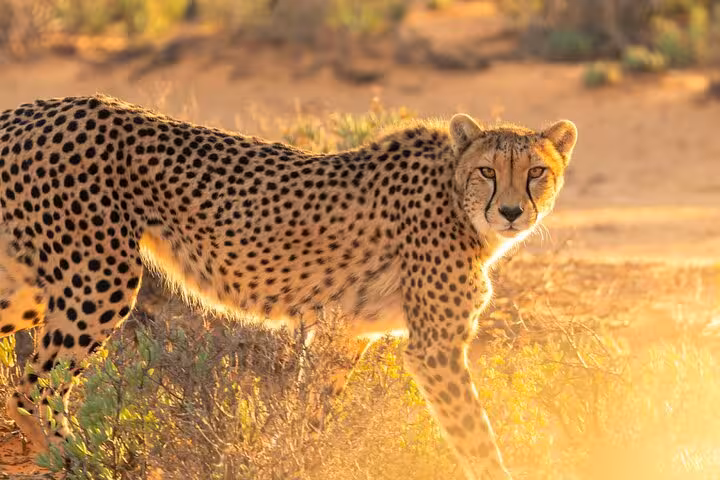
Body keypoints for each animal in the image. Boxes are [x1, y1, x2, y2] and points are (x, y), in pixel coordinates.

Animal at [0, 94, 576, 480]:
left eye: (536, 172)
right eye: (487, 170)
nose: (510, 211)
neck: (457, 198)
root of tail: (32, 109)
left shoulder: (345, 334)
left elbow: (313, 411)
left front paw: (298, 457)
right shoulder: (434, 348)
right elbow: (475, 434)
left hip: (35, 283)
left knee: (26, 378)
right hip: (99, 279)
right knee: (35, 383)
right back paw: (80, 460)